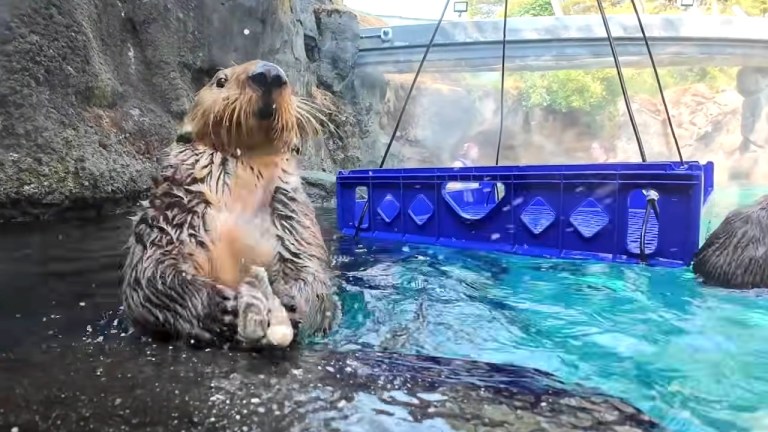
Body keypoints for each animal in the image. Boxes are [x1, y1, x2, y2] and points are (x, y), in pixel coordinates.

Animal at [121, 60, 340, 349]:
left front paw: (291, 305)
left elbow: (311, 271)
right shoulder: (172, 210)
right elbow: (151, 271)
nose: (269, 73)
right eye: (220, 81)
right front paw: (219, 309)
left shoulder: (293, 217)